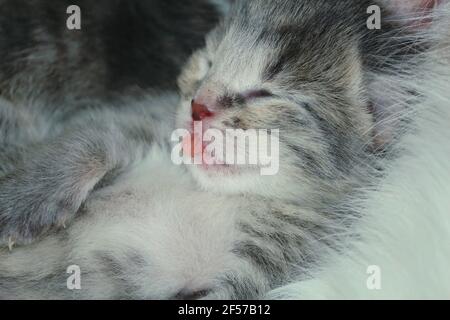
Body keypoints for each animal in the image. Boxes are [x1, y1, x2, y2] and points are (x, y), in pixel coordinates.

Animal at [0, 0, 436, 300]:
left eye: (264, 93)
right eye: (208, 63)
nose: (197, 106)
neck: (224, 194)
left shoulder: (271, 266)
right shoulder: (143, 117)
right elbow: (91, 137)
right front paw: (19, 204)